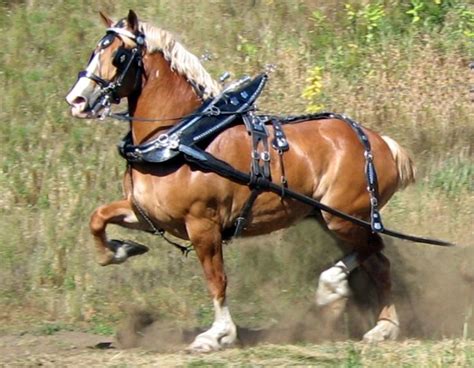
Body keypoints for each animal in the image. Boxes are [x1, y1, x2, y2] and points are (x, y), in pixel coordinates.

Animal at [65, 10, 420, 350]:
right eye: (95, 50)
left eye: (118, 55)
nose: (77, 101)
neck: (180, 138)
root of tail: (381, 142)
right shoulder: (147, 212)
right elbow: (98, 218)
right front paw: (119, 250)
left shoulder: (203, 224)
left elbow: (216, 279)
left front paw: (218, 334)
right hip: (331, 218)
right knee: (374, 259)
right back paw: (368, 316)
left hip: (342, 218)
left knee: (377, 254)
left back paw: (362, 311)